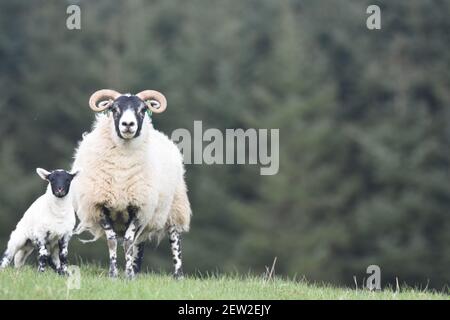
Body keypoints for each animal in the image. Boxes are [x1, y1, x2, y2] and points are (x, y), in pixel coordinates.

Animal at [72, 89, 192, 278]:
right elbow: (113, 241)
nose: (128, 124)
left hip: (175, 206)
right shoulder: (101, 206)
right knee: (138, 243)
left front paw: (128, 275)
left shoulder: (138, 207)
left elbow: (128, 241)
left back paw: (178, 275)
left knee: (175, 240)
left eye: (142, 110)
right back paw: (136, 270)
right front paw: (114, 274)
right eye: (114, 109)